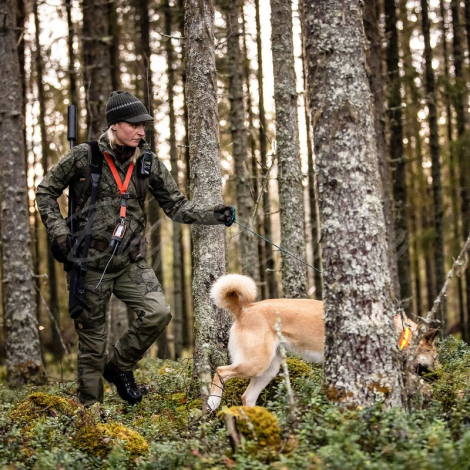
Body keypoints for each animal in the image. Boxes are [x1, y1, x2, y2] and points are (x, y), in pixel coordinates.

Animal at [207, 274, 438, 410]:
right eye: (434, 357)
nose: (439, 375)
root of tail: (244, 309)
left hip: (268, 370)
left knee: (247, 397)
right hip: (255, 363)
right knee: (221, 371)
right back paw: (213, 403)